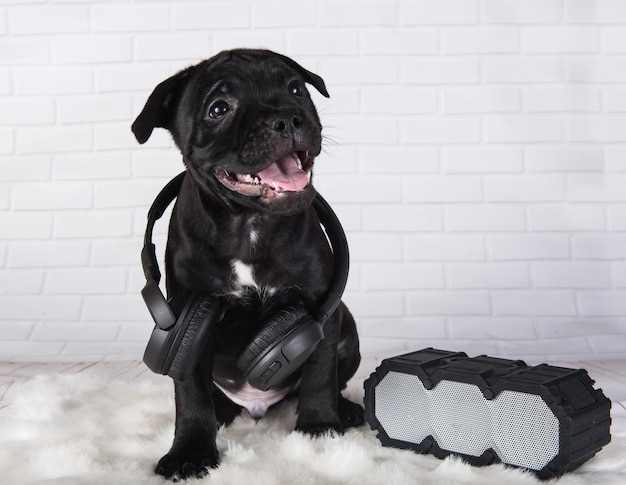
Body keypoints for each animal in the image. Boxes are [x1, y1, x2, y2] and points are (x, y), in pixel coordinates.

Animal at [133, 47, 366, 478]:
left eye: (295, 89)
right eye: (218, 109)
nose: (287, 117)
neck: (249, 222)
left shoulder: (320, 308)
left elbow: (320, 372)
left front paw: (319, 428)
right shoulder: (189, 316)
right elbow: (189, 391)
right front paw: (190, 451)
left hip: (347, 327)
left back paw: (344, 410)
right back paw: (222, 412)